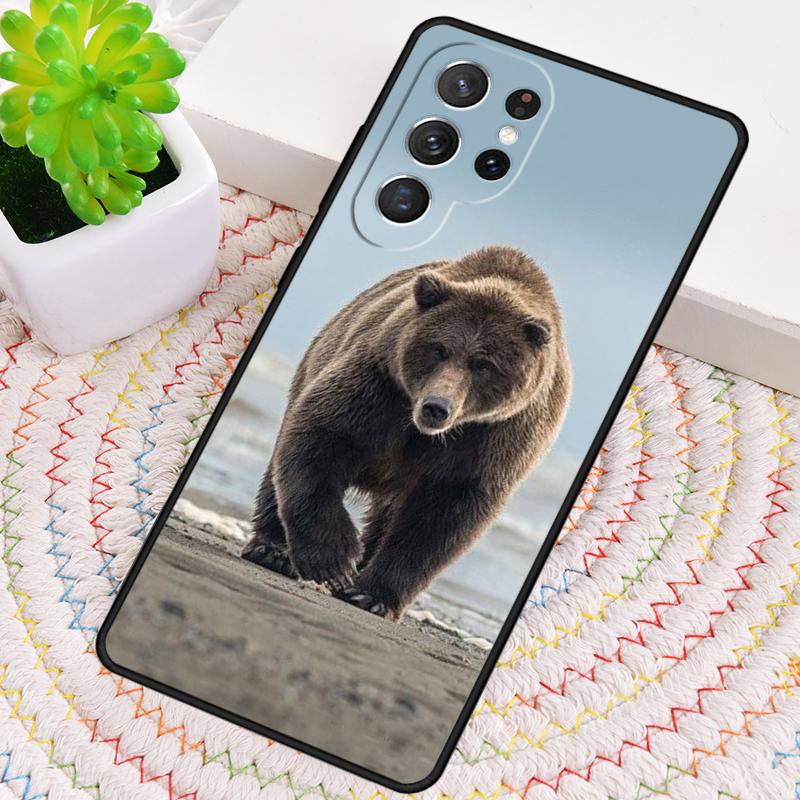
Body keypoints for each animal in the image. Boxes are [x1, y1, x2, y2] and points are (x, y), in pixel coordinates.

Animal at [242, 245, 571, 620]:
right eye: (439, 349)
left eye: (484, 364)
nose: (436, 407)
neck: (423, 433)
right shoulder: (381, 383)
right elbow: (323, 437)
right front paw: (335, 561)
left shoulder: (494, 438)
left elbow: (441, 518)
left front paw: (371, 595)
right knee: (281, 467)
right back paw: (272, 549)